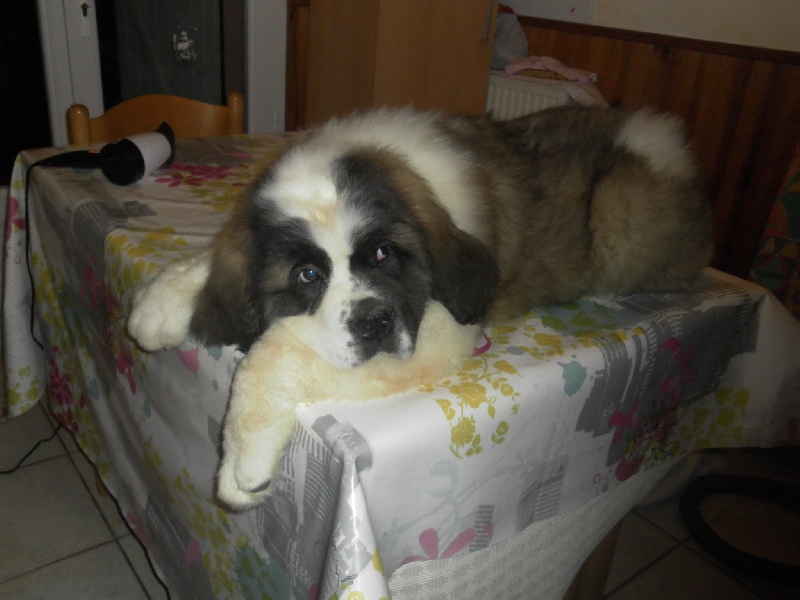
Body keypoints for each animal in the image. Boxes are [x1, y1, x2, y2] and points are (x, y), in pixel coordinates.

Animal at [128, 105, 713, 508]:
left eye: (385, 254)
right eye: (308, 275)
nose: (376, 324)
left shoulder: (440, 333)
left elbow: (275, 354)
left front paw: (242, 464)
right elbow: (213, 258)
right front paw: (158, 304)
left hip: (621, 215)